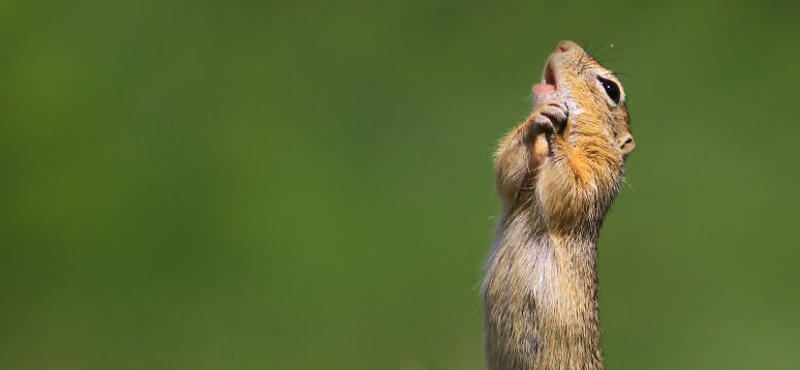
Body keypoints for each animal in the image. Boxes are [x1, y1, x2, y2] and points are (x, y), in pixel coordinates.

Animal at [482, 40, 636, 370]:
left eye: (611, 89)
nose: (563, 44)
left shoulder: (597, 174)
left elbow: (570, 189)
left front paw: (557, 133)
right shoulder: (517, 187)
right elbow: (508, 171)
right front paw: (538, 120)